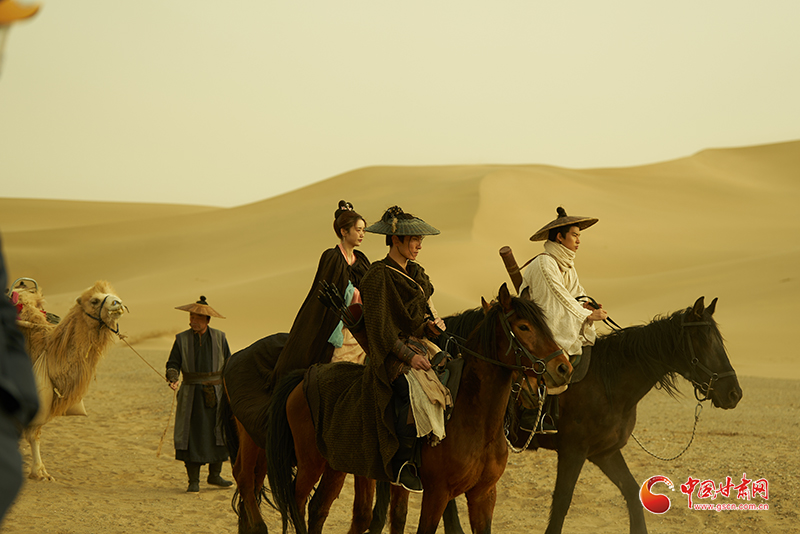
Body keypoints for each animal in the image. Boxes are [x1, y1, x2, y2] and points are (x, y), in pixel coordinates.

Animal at [265, 283, 573, 534]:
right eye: (523, 327)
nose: (564, 369)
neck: (474, 418)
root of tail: (305, 376)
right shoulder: (438, 493)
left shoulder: (484, 495)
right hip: (310, 463)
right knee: (297, 503)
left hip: (337, 465)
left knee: (318, 509)